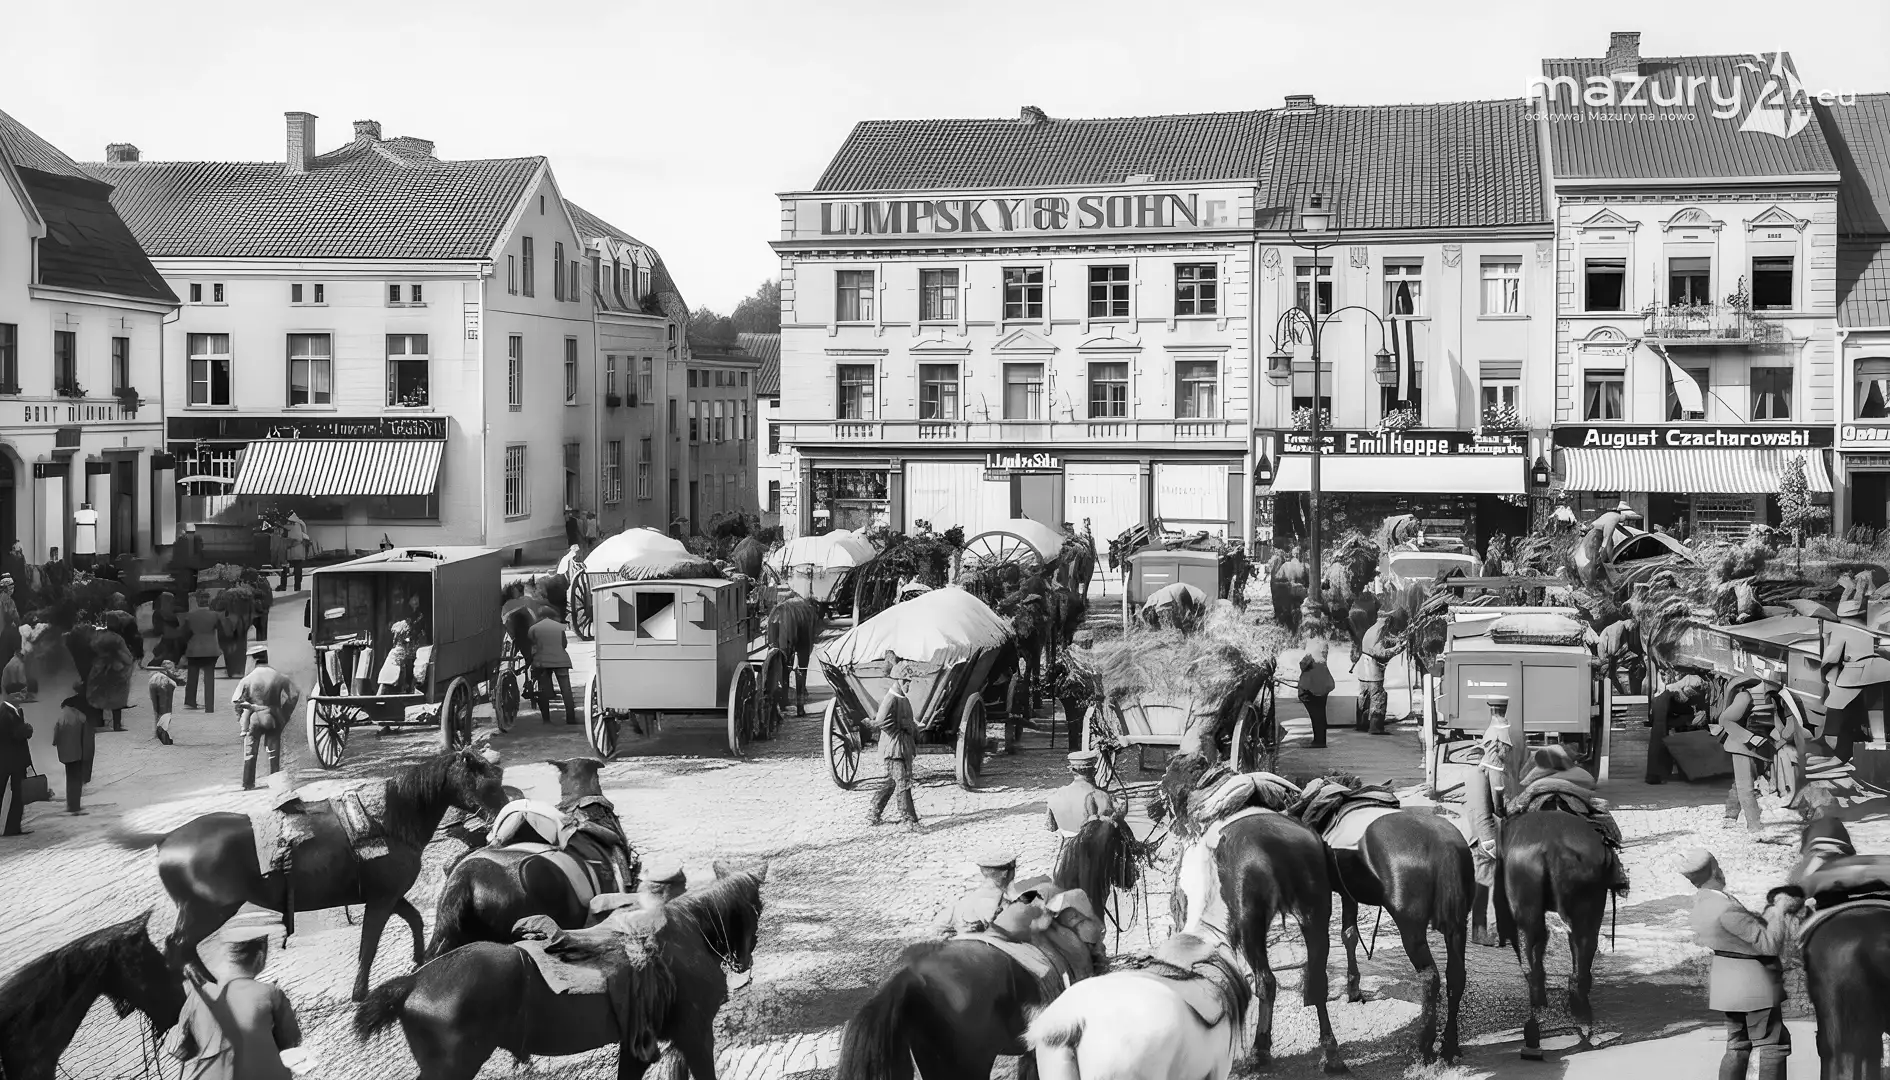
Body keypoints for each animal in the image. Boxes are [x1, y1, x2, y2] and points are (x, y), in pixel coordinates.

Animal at [112, 747, 509, 1002]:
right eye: (486, 783)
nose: (505, 812)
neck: (388, 819)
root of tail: (167, 838)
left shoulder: (388, 896)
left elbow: (413, 919)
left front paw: (421, 958)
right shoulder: (381, 900)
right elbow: (369, 944)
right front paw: (360, 991)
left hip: (200, 911)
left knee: (183, 948)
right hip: (208, 910)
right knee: (177, 947)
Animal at [355, 862, 766, 1080]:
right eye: (757, 908)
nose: (743, 962)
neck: (687, 930)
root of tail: (413, 983)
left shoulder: (641, 1043)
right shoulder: (695, 1036)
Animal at [1158, 765, 1349, 1074]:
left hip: (1253, 927)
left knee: (1267, 980)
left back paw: (1260, 1051)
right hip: (1314, 914)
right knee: (1317, 981)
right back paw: (1331, 1054)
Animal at [1287, 784, 1472, 1064]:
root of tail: (1446, 847)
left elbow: (1344, 936)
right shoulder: (1349, 893)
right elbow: (1350, 934)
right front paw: (1353, 989)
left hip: (1412, 930)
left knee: (1430, 978)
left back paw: (1424, 1046)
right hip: (1458, 925)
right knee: (1456, 976)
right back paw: (1450, 1044)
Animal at [1492, 810, 1616, 1059]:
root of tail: (1553, 847)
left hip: (1528, 905)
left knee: (1532, 958)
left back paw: (1535, 1024)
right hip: (1588, 902)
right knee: (1582, 947)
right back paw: (1582, 1017)